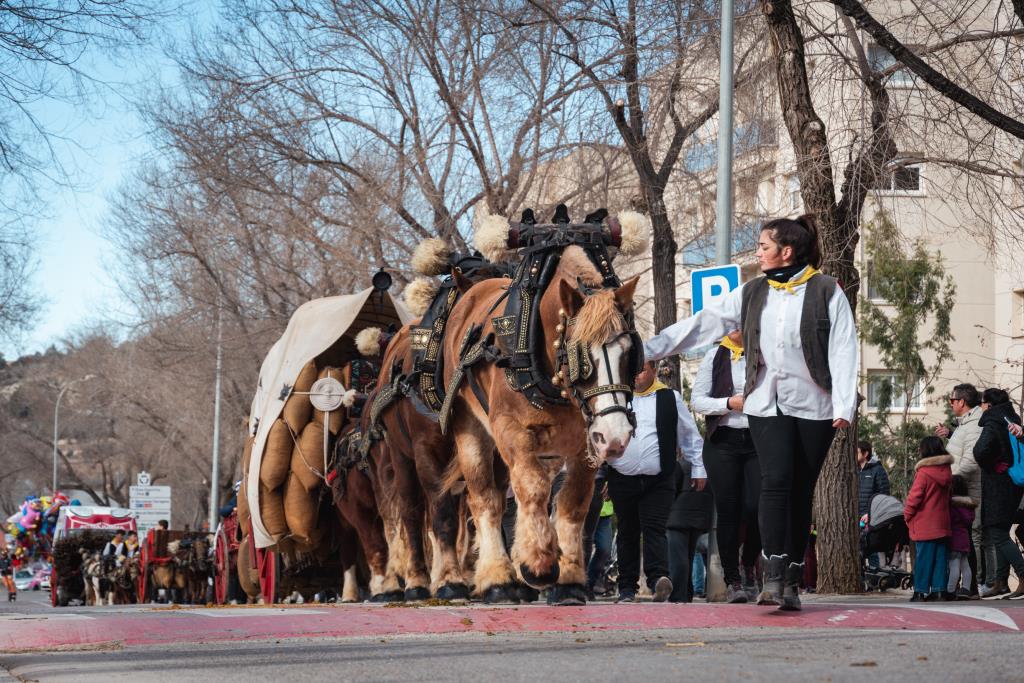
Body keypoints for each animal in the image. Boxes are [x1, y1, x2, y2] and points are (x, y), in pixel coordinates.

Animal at [442, 244, 638, 602]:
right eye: (581, 355)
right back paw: (497, 577)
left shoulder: (584, 445)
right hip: (470, 427)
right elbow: (531, 488)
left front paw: (569, 578)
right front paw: (538, 563)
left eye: (628, 353)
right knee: (486, 498)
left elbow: (573, 501)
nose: (616, 436)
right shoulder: (511, 430)